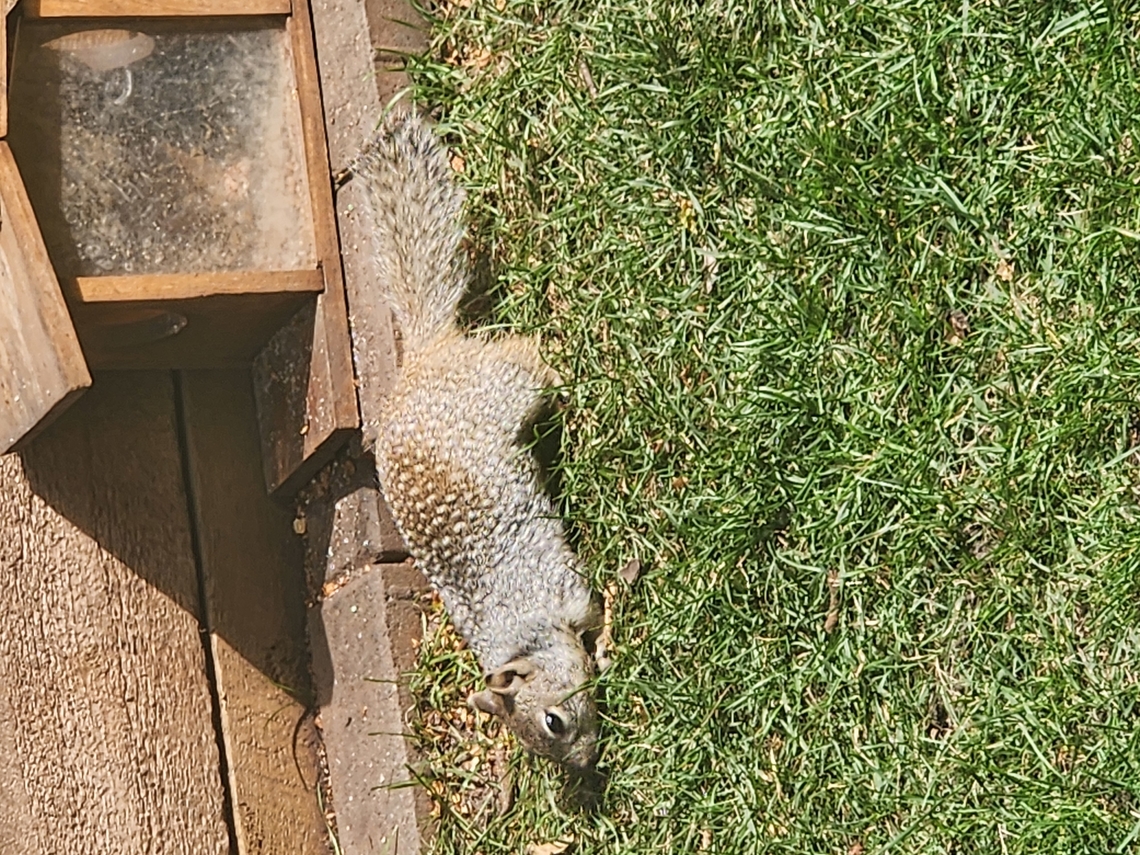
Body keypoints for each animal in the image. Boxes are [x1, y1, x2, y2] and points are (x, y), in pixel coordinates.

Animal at [352, 112, 602, 771]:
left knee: (527, 354)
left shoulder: (561, 589)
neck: (525, 636)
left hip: (502, 385)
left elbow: (593, 612)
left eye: (554, 720)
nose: (584, 765)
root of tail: (422, 357)